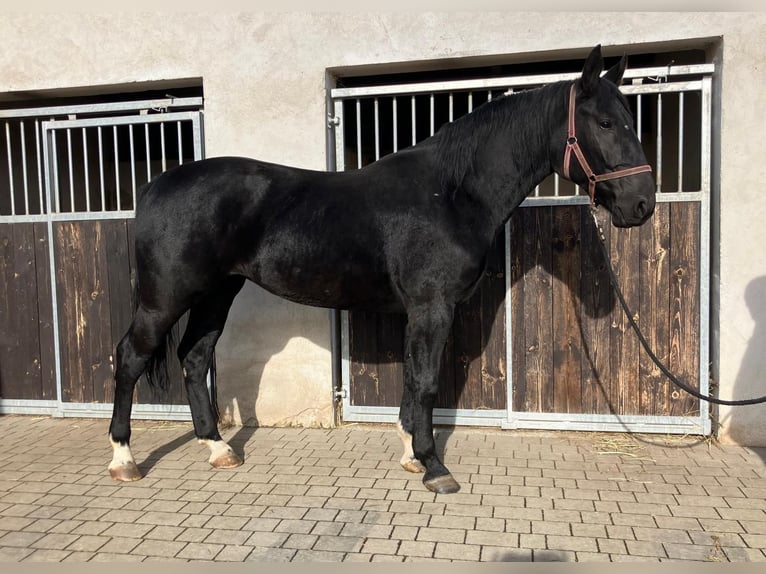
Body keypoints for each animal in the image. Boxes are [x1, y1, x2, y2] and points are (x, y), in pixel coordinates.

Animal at [107, 45, 655, 494]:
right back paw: (124, 459)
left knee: (195, 357)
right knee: (131, 357)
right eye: (605, 123)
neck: (451, 193)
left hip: (218, 292)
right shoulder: (433, 307)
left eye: (630, 119)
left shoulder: (421, 311)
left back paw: (218, 449)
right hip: (165, 298)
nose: (641, 204)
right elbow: (428, 381)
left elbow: (413, 379)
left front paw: (411, 455)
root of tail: (156, 185)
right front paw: (434, 467)